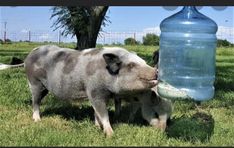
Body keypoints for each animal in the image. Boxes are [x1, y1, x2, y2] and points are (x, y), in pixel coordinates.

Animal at [23, 44, 157, 136]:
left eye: (144, 62)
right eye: (131, 65)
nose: (156, 71)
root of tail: (30, 54)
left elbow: (96, 112)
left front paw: (97, 126)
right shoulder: (94, 91)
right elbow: (103, 113)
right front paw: (110, 134)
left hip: (44, 88)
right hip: (34, 82)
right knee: (35, 101)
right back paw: (37, 120)